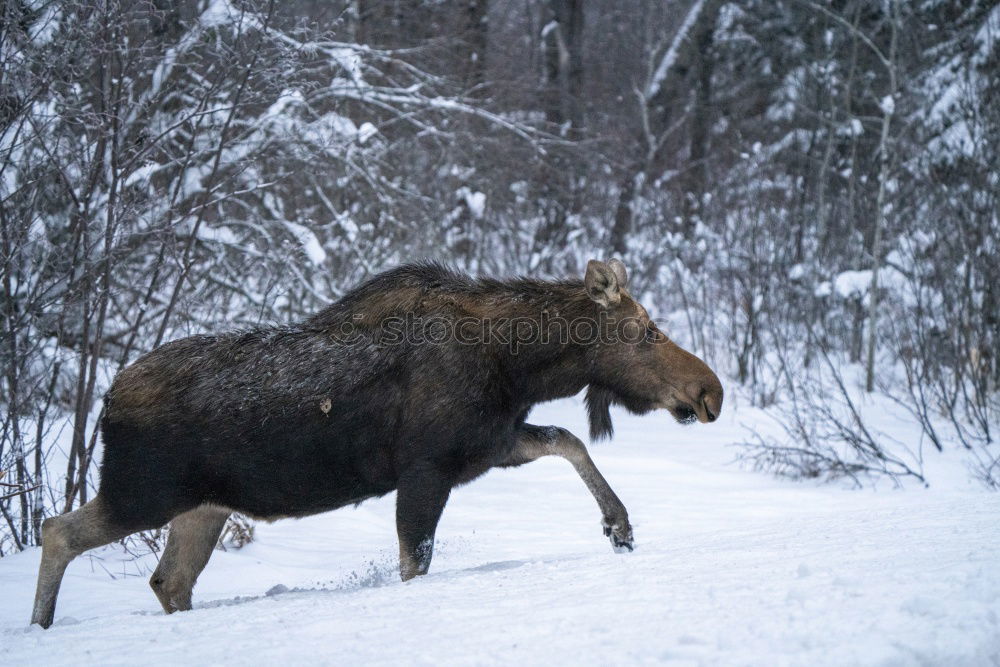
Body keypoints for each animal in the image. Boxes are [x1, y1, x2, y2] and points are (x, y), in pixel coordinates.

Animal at [29, 258, 720, 628]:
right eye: (646, 330)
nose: (710, 390)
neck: (520, 365)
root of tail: (107, 399)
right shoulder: (428, 466)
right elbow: (415, 561)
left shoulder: (485, 445)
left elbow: (568, 438)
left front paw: (619, 526)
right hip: (141, 492)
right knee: (56, 529)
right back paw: (40, 626)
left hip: (201, 508)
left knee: (168, 581)